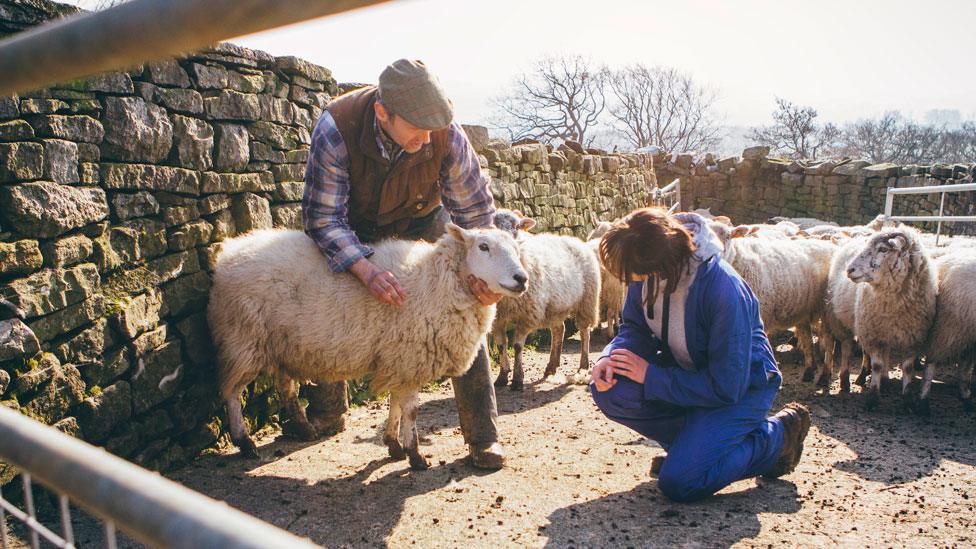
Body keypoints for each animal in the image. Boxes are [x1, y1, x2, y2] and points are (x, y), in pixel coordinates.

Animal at [206, 223, 528, 466]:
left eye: (517, 249)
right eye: (483, 247)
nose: (521, 278)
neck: (436, 282)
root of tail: (230, 251)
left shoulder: (399, 360)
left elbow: (396, 404)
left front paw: (394, 444)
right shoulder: (409, 358)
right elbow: (411, 410)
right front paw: (414, 455)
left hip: (279, 343)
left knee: (283, 385)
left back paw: (302, 426)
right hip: (243, 338)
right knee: (231, 391)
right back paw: (244, 441)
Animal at [492, 213, 600, 390]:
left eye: (517, 226)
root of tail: (576, 240)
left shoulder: (527, 315)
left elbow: (517, 346)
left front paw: (517, 379)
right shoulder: (497, 319)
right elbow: (501, 345)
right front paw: (502, 376)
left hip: (587, 300)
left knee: (585, 332)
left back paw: (583, 365)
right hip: (556, 306)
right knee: (559, 330)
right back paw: (551, 366)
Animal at [848, 225, 936, 408]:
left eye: (883, 249)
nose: (849, 269)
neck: (894, 309)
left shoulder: (912, 339)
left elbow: (908, 369)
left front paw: (907, 399)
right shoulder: (874, 335)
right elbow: (876, 365)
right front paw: (873, 397)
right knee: (875, 355)